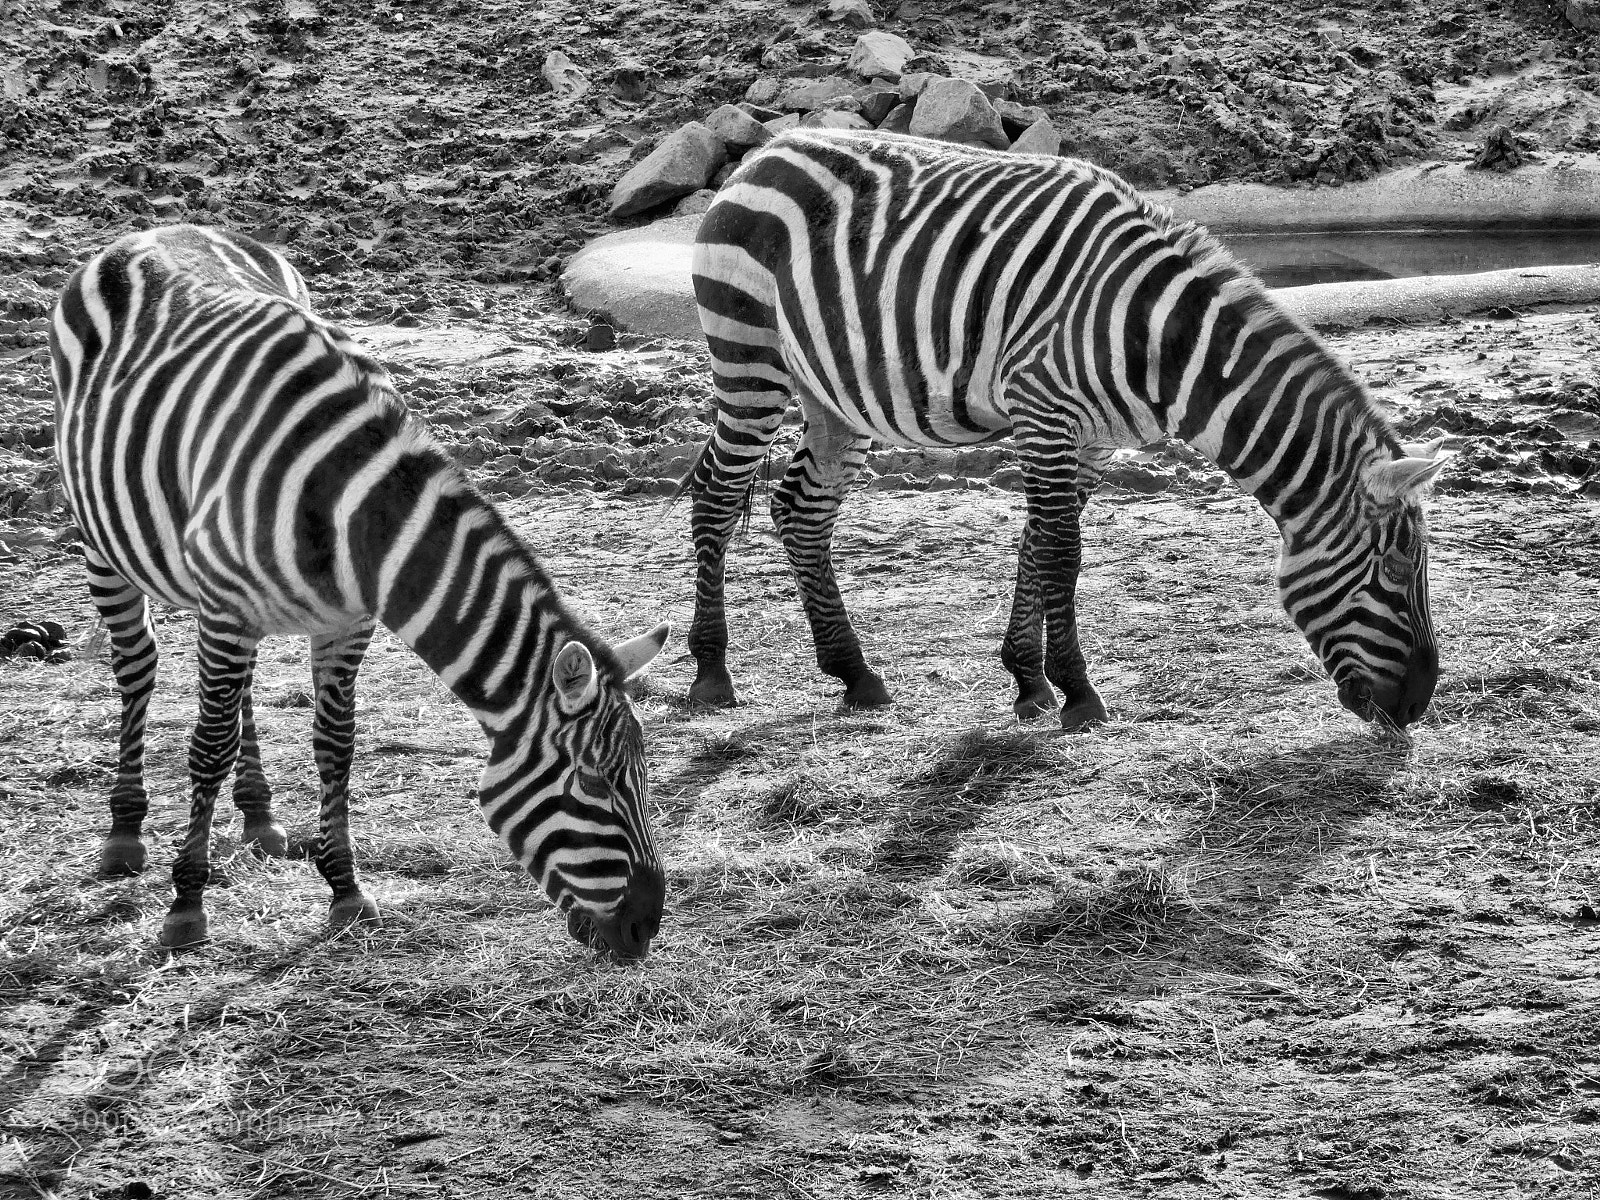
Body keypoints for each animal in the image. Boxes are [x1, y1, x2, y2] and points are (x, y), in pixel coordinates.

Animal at [50, 225, 670, 954]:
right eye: (594, 782)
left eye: (642, 777)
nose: (645, 927)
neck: (348, 510)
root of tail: (157, 229)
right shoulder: (228, 610)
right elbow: (207, 749)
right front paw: (186, 903)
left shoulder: (341, 624)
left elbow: (336, 747)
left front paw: (345, 890)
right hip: (103, 542)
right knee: (138, 668)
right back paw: (124, 831)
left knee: (240, 693)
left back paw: (259, 817)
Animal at [683, 129, 1449, 729]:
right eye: (1394, 570)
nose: (1416, 705)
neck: (1161, 340)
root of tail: (762, 153)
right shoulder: (1042, 408)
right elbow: (1061, 551)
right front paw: (1078, 693)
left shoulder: (1087, 438)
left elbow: (1039, 543)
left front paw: (1029, 682)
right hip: (749, 360)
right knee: (715, 493)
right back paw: (712, 672)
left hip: (831, 399)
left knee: (801, 509)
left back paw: (853, 672)